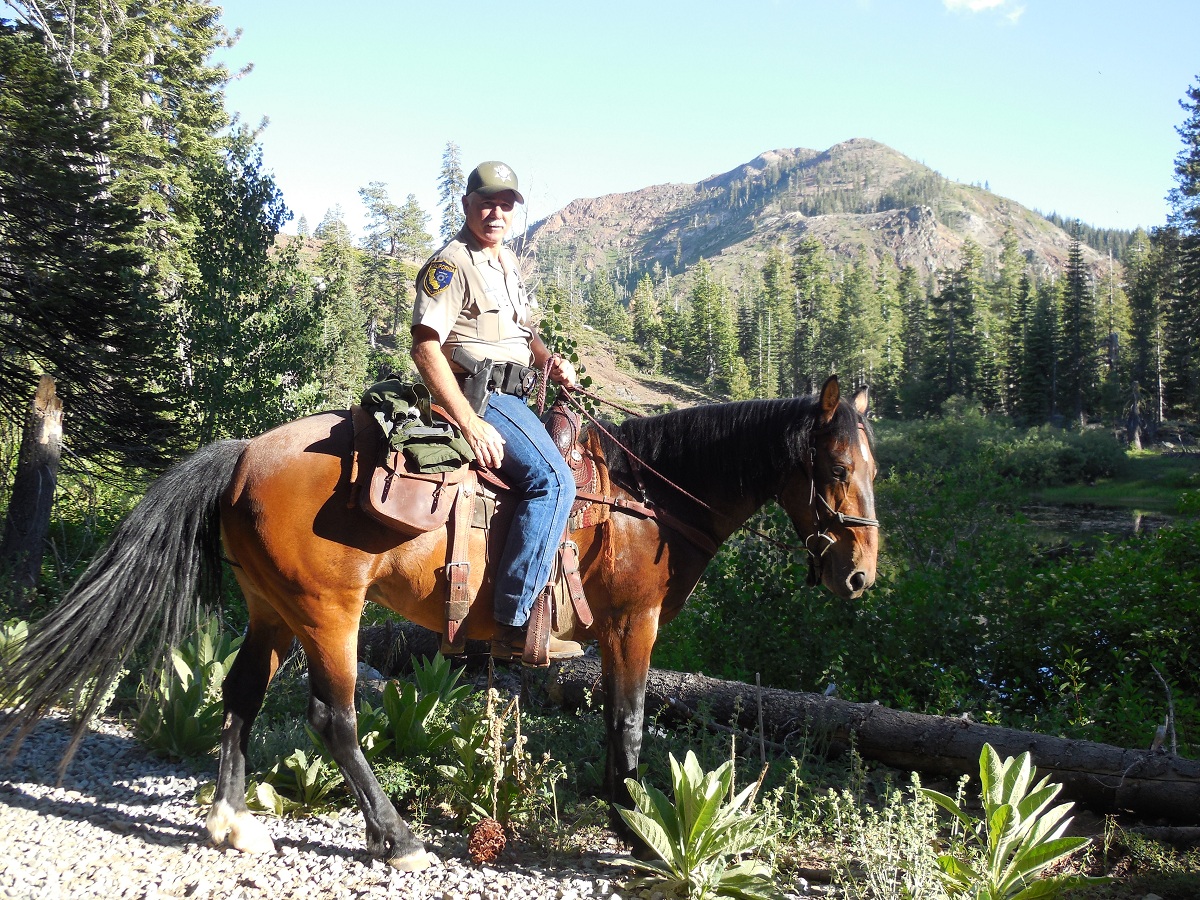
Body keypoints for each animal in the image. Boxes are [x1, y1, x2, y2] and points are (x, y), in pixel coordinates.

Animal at [2, 374, 883, 873]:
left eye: (873, 468)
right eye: (838, 468)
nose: (859, 576)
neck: (646, 501)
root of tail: (247, 451)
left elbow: (617, 727)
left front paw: (628, 823)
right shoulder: (632, 627)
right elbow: (629, 727)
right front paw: (636, 834)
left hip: (270, 608)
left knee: (240, 695)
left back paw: (231, 823)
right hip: (328, 613)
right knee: (334, 718)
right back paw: (397, 838)